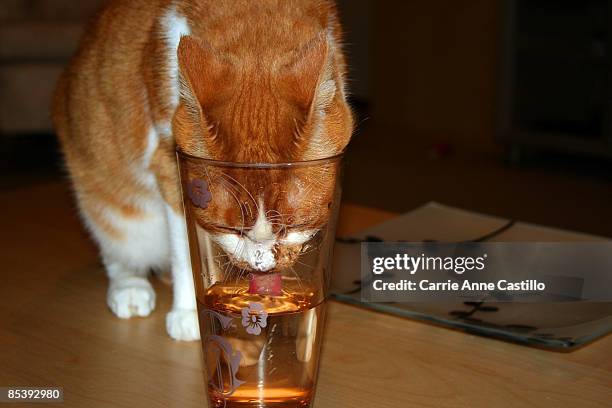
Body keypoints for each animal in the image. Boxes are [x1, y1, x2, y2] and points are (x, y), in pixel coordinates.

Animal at [53, 0, 354, 342]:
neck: (255, 21)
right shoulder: (169, 163)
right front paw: (189, 312)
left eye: (290, 227)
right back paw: (129, 287)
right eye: (230, 229)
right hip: (106, 200)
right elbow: (185, 248)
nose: (261, 268)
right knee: (116, 246)